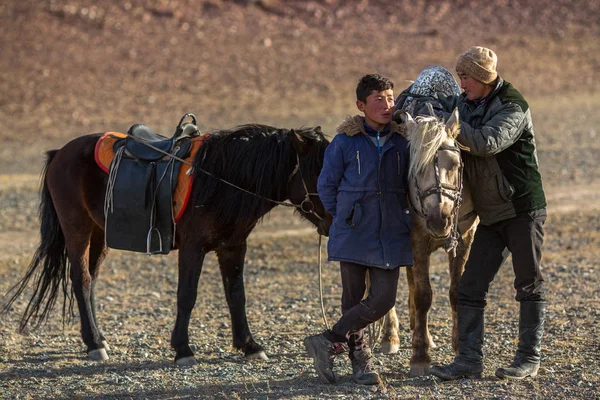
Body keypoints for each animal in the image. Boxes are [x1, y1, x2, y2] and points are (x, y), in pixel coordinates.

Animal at [2, 123, 332, 364]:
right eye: (317, 172)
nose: (332, 222)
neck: (220, 179)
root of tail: (60, 152)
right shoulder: (192, 248)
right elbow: (187, 295)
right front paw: (183, 350)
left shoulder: (234, 247)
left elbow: (237, 296)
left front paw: (250, 345)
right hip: (77, 228)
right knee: (81, 280)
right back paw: (94, 343)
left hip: (100, 234)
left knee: (91, 280)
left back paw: (98, 338)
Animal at [380, 108, 478, 376]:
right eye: (415, 167)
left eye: (456, 164)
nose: (439, 219)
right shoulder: (416, 241)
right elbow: (423, 296)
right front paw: (420, 356)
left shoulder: (464, 239)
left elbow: (456, 291)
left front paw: (458, 344)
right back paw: (390, 337)